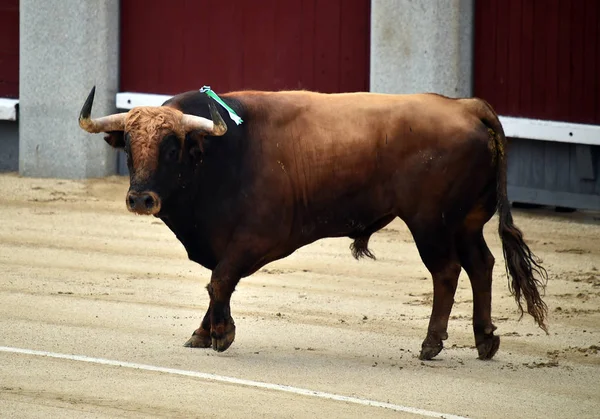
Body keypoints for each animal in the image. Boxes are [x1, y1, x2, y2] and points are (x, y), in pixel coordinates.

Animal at [77, 86, 548, 360]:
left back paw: (431, 344)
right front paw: (202, 333)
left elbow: (220, 279)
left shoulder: (257, 236)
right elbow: (216, 282)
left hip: (431, 223)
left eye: (172, 148)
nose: (141, 198)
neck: (221, 154)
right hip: (466, 221)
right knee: (481, 265)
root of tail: (467, 106)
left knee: (447, 272)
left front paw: (222, 335)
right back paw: (485, 340)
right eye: (128, 147)